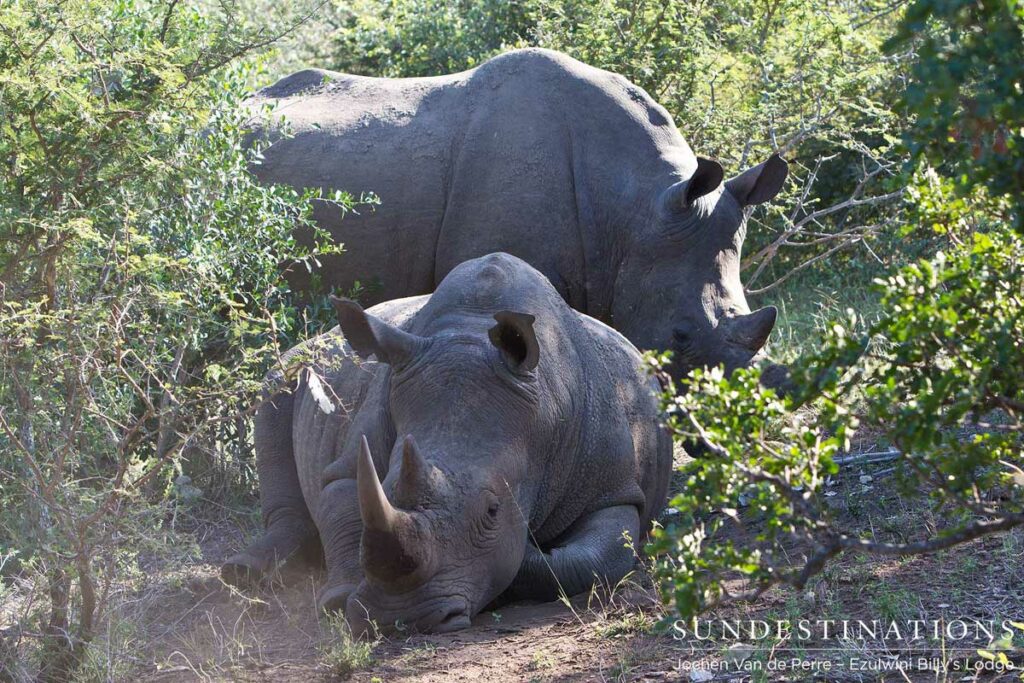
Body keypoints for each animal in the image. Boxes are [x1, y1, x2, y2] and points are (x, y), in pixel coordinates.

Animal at [222, 253, 672, 633]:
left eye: (493, 511)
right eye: (384, 484)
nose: (403, 620)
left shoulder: (612, 489)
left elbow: (593, 561)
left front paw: (521, 556)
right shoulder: (357, 453)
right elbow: (344, 499)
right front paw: (340, 599)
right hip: (295, 364)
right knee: (272, 401)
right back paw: (241, 573)